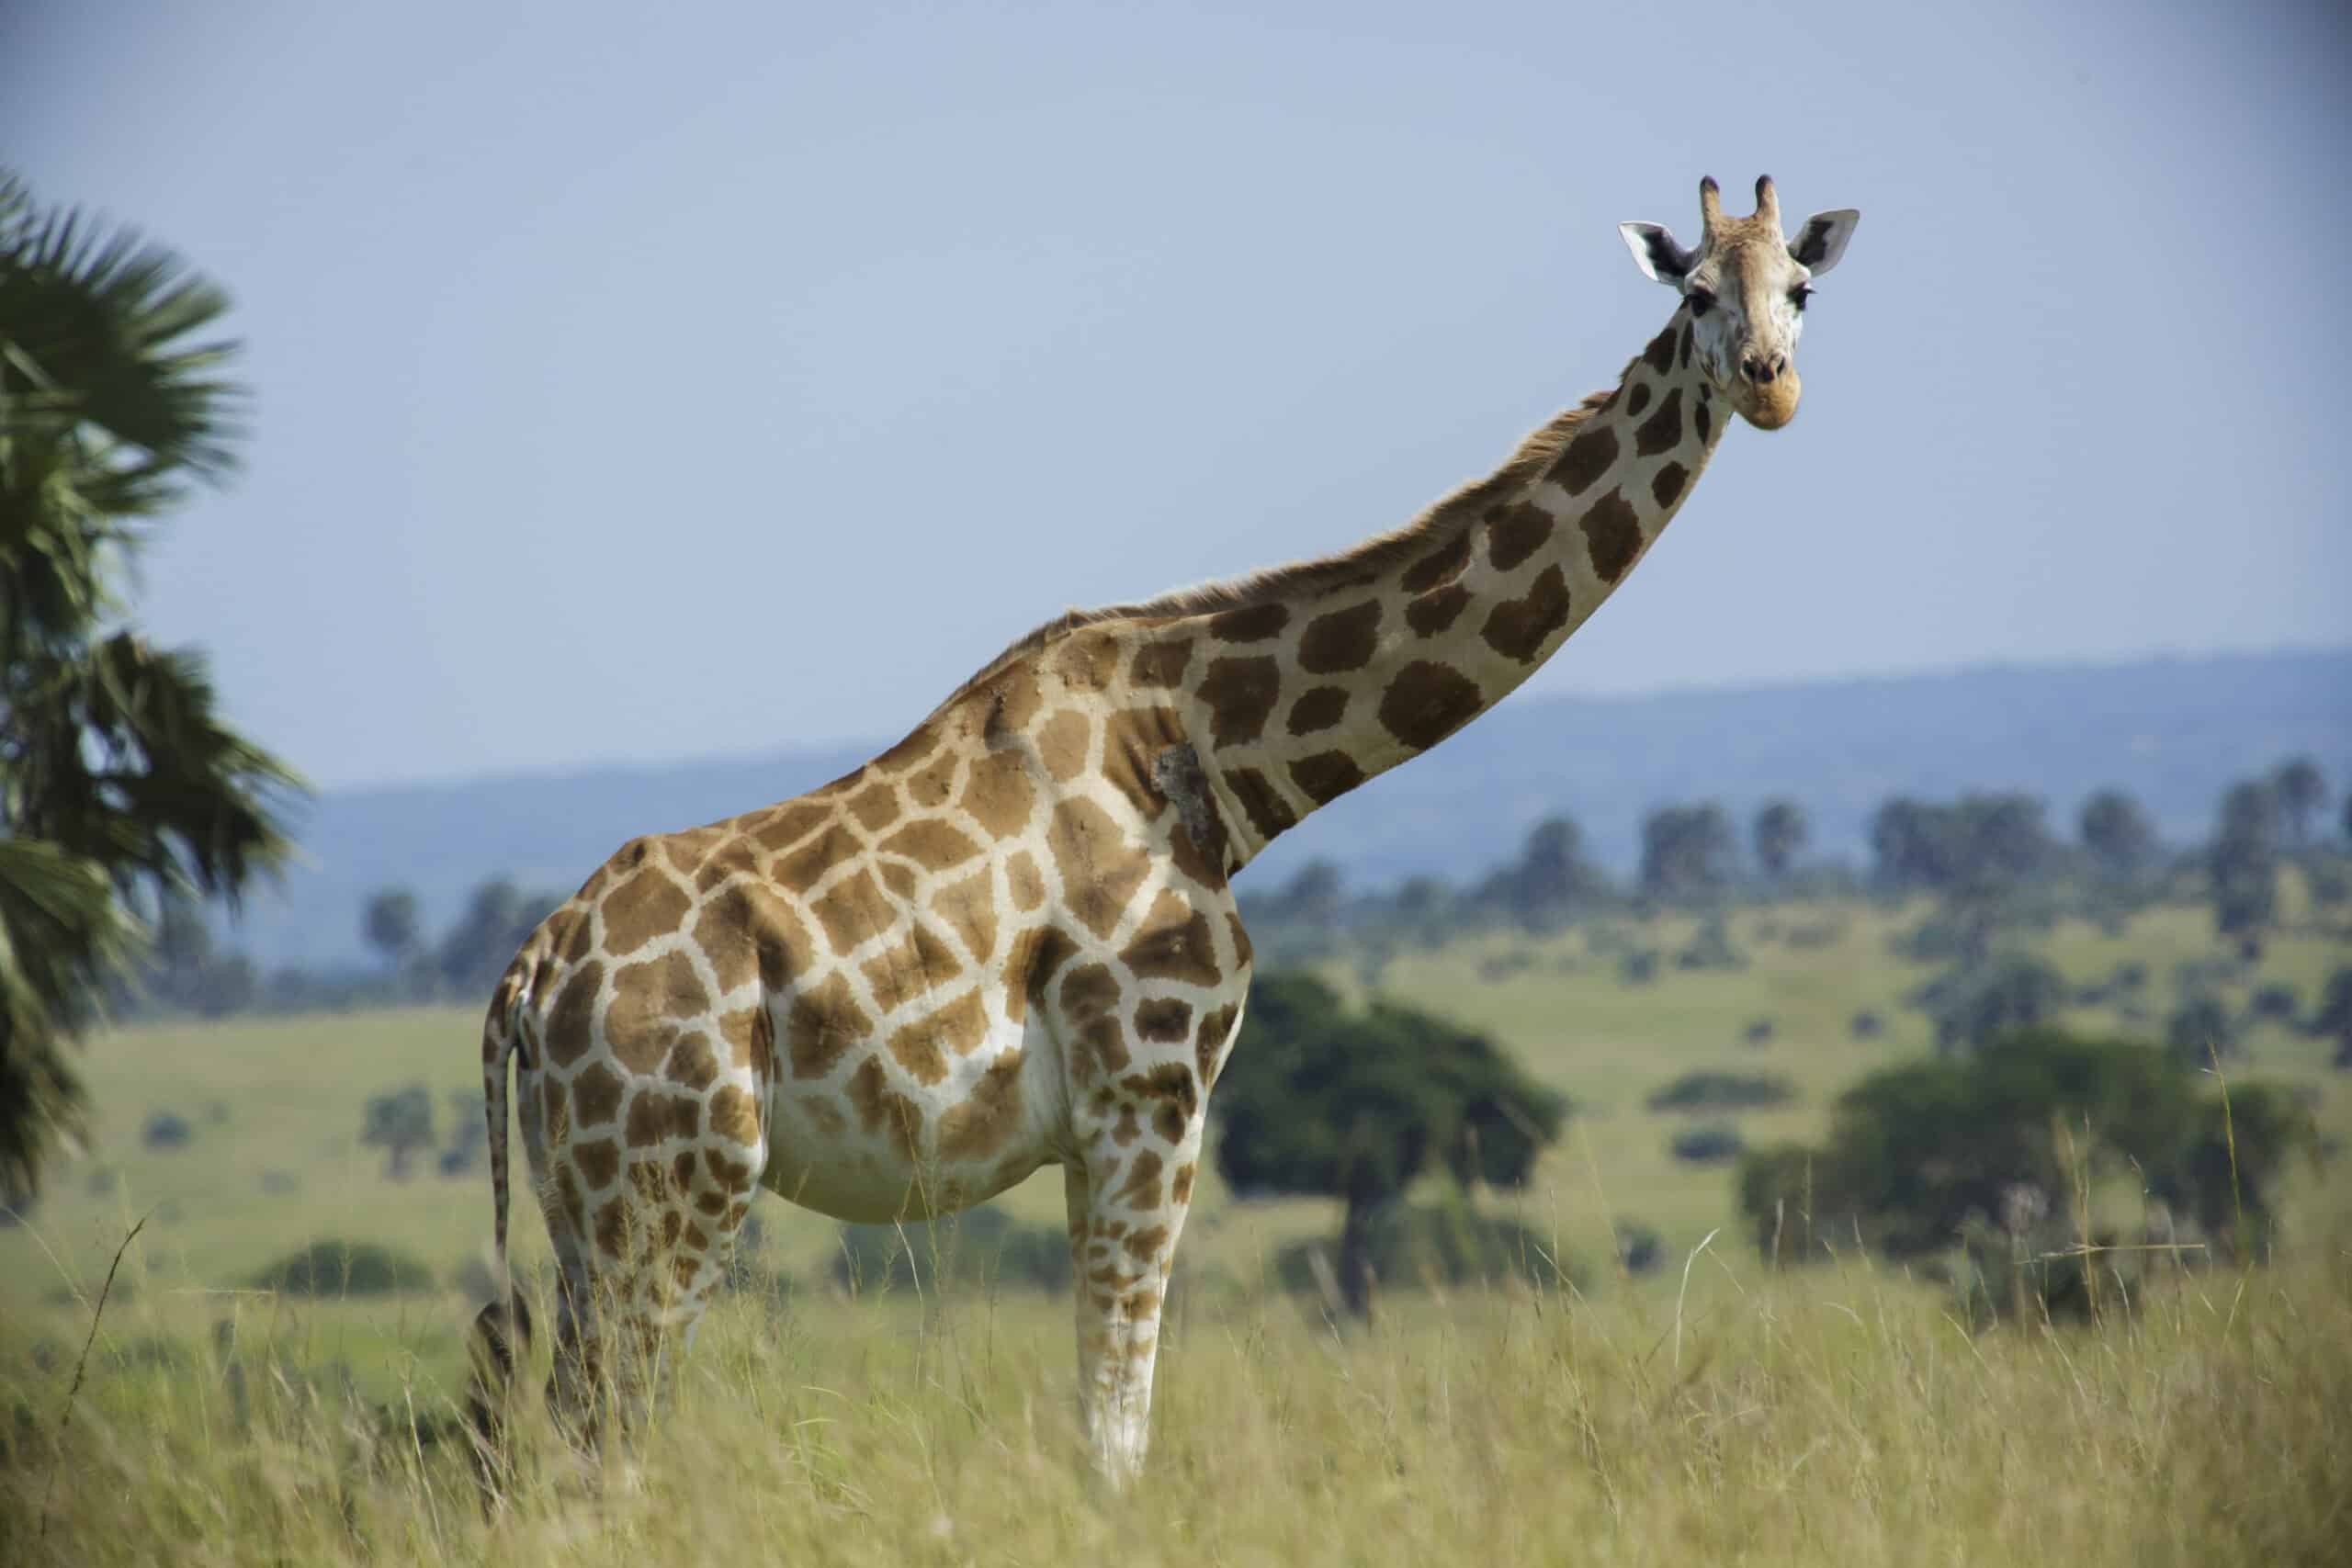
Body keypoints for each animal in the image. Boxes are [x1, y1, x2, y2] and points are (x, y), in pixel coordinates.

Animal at [467, 175, 1859, 1485]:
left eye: (1800, 288)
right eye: (1696, 295)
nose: (1772, 387)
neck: (1217, 757)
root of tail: (530, 977)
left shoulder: (1104, 1124)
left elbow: (1107, 1412)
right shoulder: (1152, 1090)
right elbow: (1116, 1425)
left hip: (585, 1204)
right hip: (676, 1185)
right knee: (605, 1442)